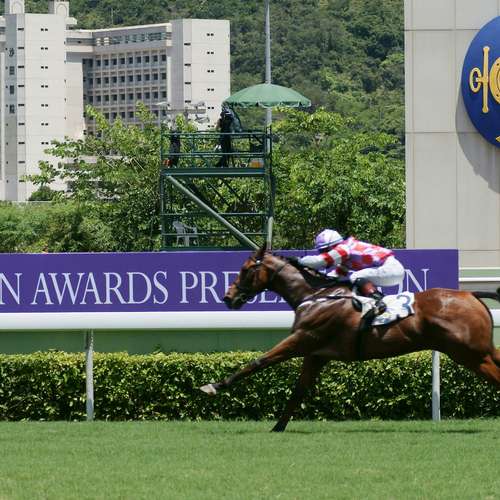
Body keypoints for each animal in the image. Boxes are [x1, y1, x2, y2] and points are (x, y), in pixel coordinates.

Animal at [200, 245, 500, 432]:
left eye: (246, 269)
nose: (228, 297)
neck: (316, 296)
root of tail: (471, 294)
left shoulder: (302, 339)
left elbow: (258, 362)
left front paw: (213, 386)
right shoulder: (316, 354)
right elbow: (298, 390)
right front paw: (278, 427)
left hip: (470, 354)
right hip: (483, 349)